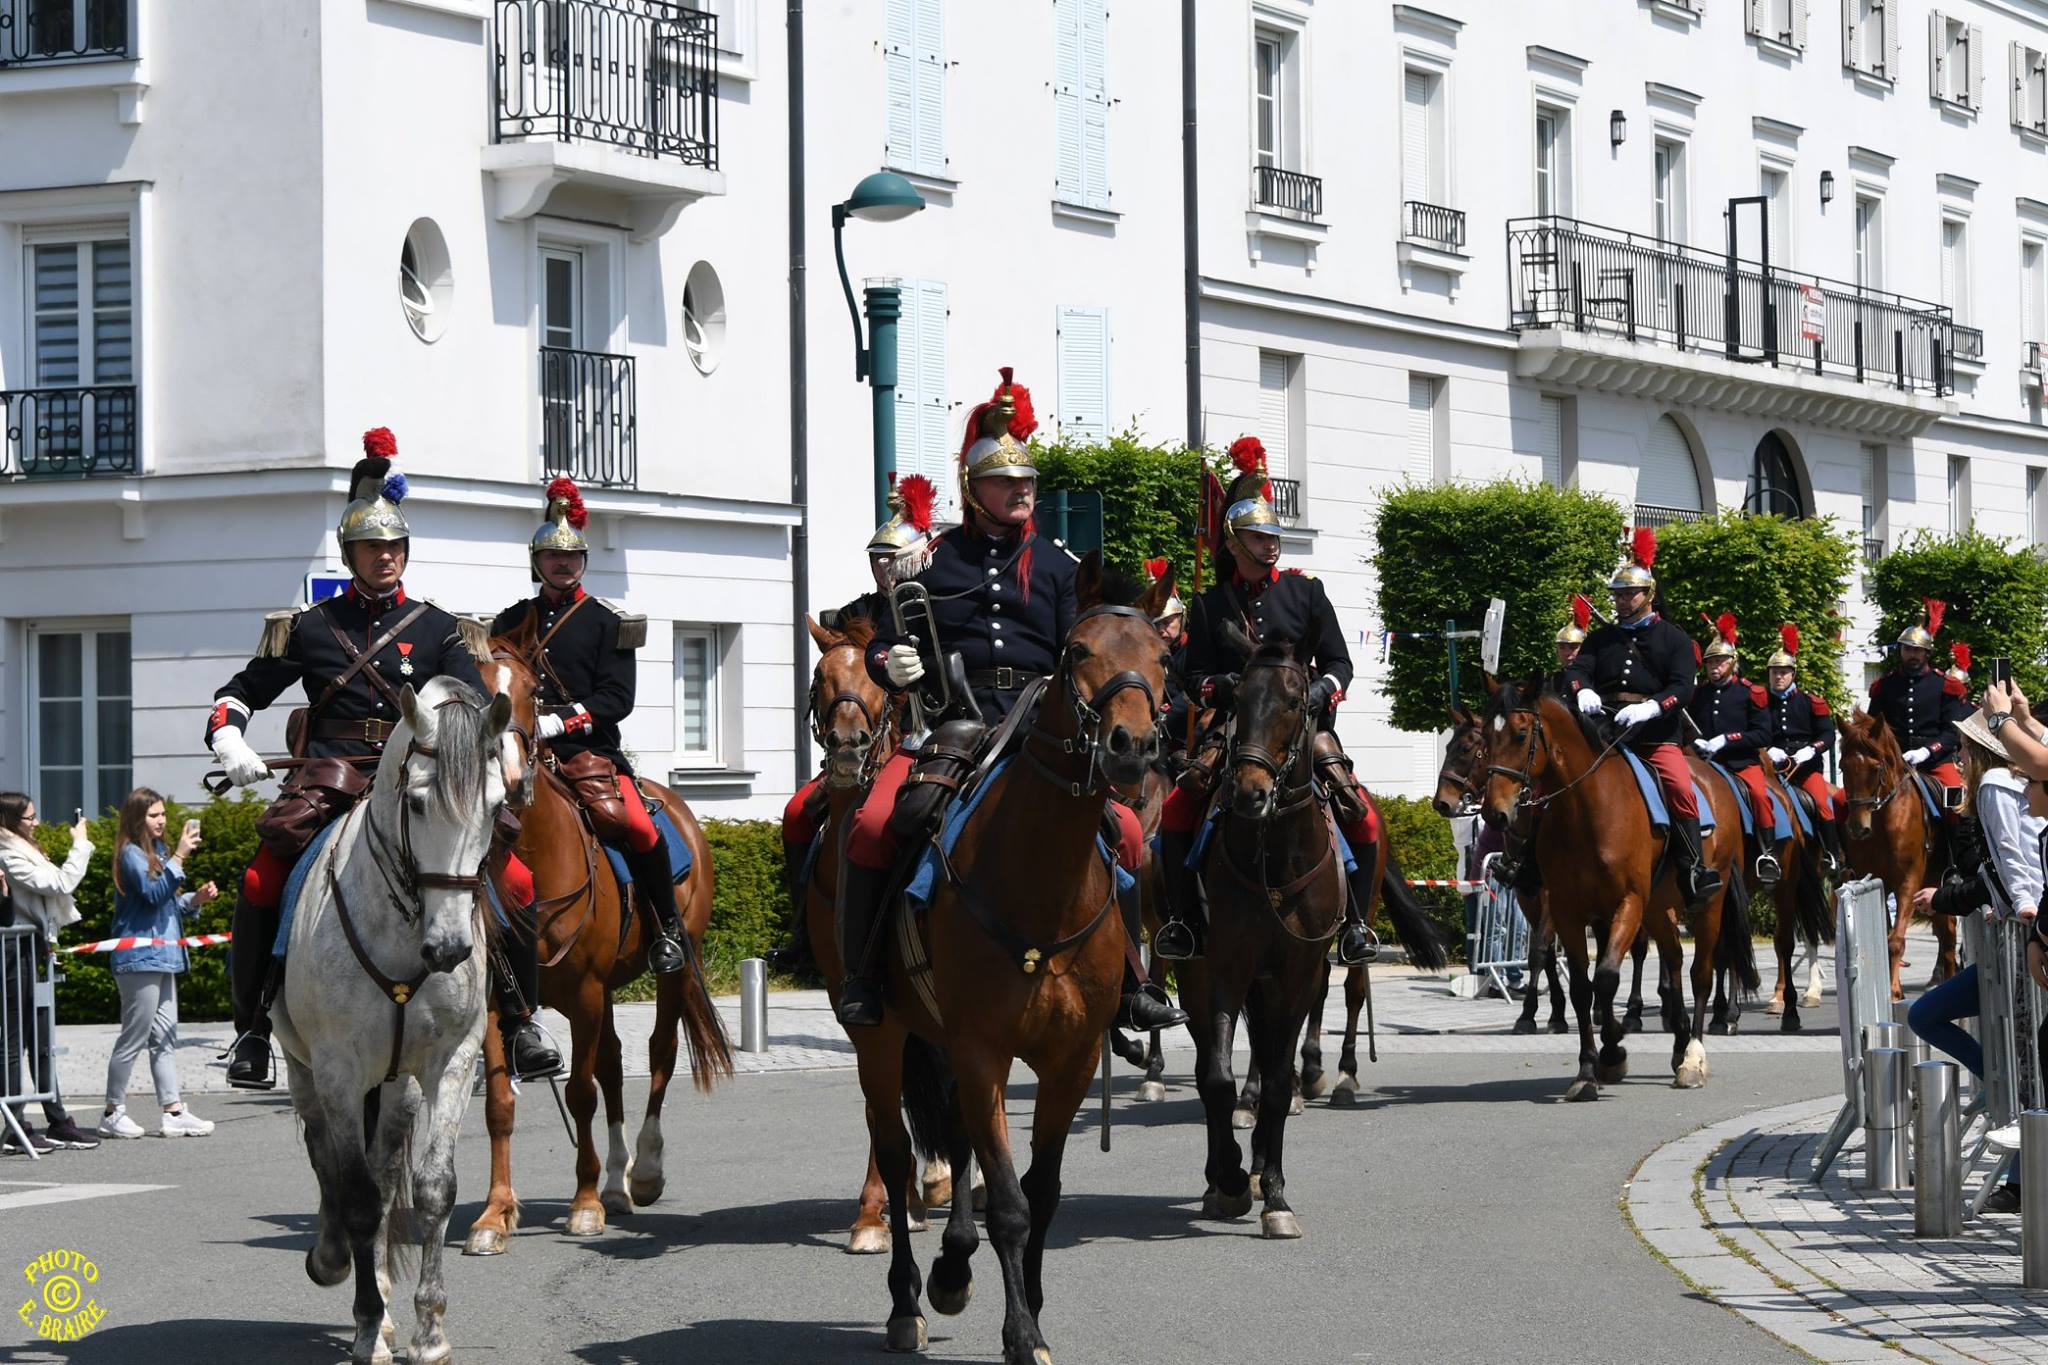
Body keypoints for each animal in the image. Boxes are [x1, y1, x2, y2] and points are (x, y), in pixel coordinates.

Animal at [268, 679, 512, 1365]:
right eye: (420, 803)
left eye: (497, 805)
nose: (450, 948)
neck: (405, 932)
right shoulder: (340, 1072)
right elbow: (352, 1197)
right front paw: (366, 1326)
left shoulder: (451, 1061)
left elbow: (431, 1190)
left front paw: (429, 1329)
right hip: (305, 1072)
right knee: (329, 1160)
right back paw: (336, 1267)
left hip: (397, 1086)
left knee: (381, 1176)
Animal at [462, 638, 729, 1252]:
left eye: (533, 690)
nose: (507, 774)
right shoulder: (498, 1001)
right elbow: (500, 1104)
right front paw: (494, 1214)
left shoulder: (583, 993)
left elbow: (581, 1093)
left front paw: (583, 1205)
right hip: (605, 991)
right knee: (611, 1061)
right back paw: (615, 1182)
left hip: (671, 970)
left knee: (657, 1054)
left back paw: (644, 1172)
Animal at [847, 581, 1171, 1365]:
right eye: (1076, 651)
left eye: (1164, 655)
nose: (1131, 746)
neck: (1042, 879)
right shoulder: (983, 1050)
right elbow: (1012, 1204)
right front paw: (1022, 1333)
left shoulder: (1070, 1058)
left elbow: (1041, 1191)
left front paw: (1030, 1307)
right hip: (884, 1039)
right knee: (896, 1156)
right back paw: (907, 1301)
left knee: (956, 1138)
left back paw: (952, 1268)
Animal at [1482, 683, 1753, 1096]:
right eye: (1484, 736)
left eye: (1520, 734)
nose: (1494, 813)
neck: (1585, 809)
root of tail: (1716, 777)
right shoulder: (1568, 909)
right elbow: (1583, 987)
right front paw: (1589, 1069)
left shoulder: (1628, 903)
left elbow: (1607, 977)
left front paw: (1612, 1051)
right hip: (1658, 908)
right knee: (1674, 959)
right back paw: (1677, 1043)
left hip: (1708, 903)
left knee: (1702, 973)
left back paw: (1693, 1057)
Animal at [1835, 712, 1957, 998]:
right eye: (1843, 767)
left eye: (1876, 767)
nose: (1857, 828)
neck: (1882, 822)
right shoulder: (1877, 882)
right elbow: (1885, 936)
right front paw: (1893, 987)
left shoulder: (1907, 882)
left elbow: (1896, 940)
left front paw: (1892, 990)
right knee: (1945, 933)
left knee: (1948, 936)